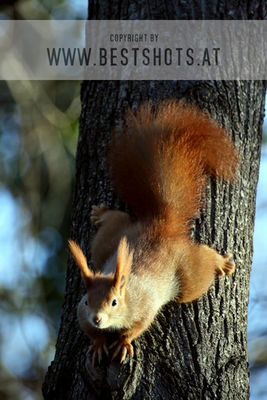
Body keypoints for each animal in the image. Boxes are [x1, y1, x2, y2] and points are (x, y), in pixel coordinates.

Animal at [68, 100, 239, 366]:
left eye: (114, 302)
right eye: (87, 300)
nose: (97, 318)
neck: (126, 291)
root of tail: (161, 224)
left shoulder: (145, 305)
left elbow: (139, 325)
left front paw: (123, 342)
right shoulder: (81, 312)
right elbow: (87, 329)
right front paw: (97, 344)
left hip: (188, 275)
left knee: (202, 265)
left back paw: (221, 262)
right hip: (111, 239)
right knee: (114, 221)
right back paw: (101, 213)